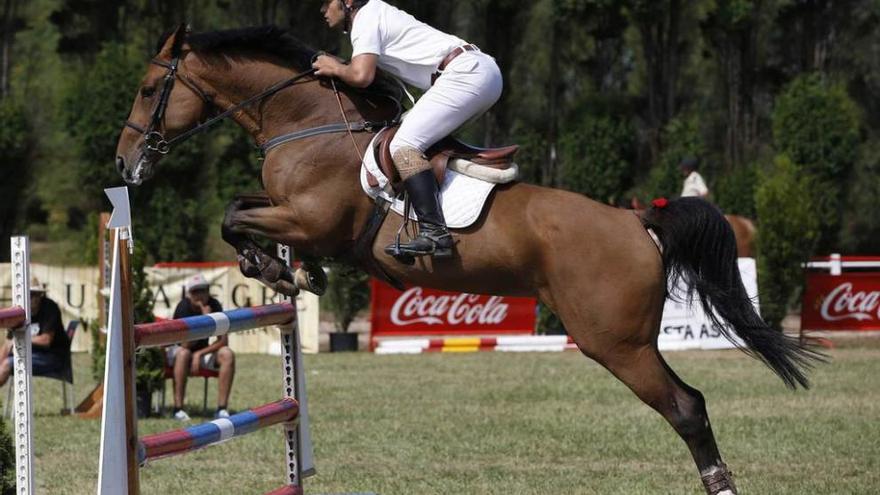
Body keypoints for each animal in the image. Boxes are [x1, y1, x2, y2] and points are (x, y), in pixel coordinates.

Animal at [115, 28, 820, 495]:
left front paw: (280, 269)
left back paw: (719, 483)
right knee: (689, 402)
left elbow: (232, 216)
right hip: (626, 340)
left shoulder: (311, 219)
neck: (308, 123)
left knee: (685, 406)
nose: (125, 164)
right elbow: (239, 207)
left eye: (149, 89)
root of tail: (635, 219)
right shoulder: (290, 212)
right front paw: (294, 271)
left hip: (615, 342)